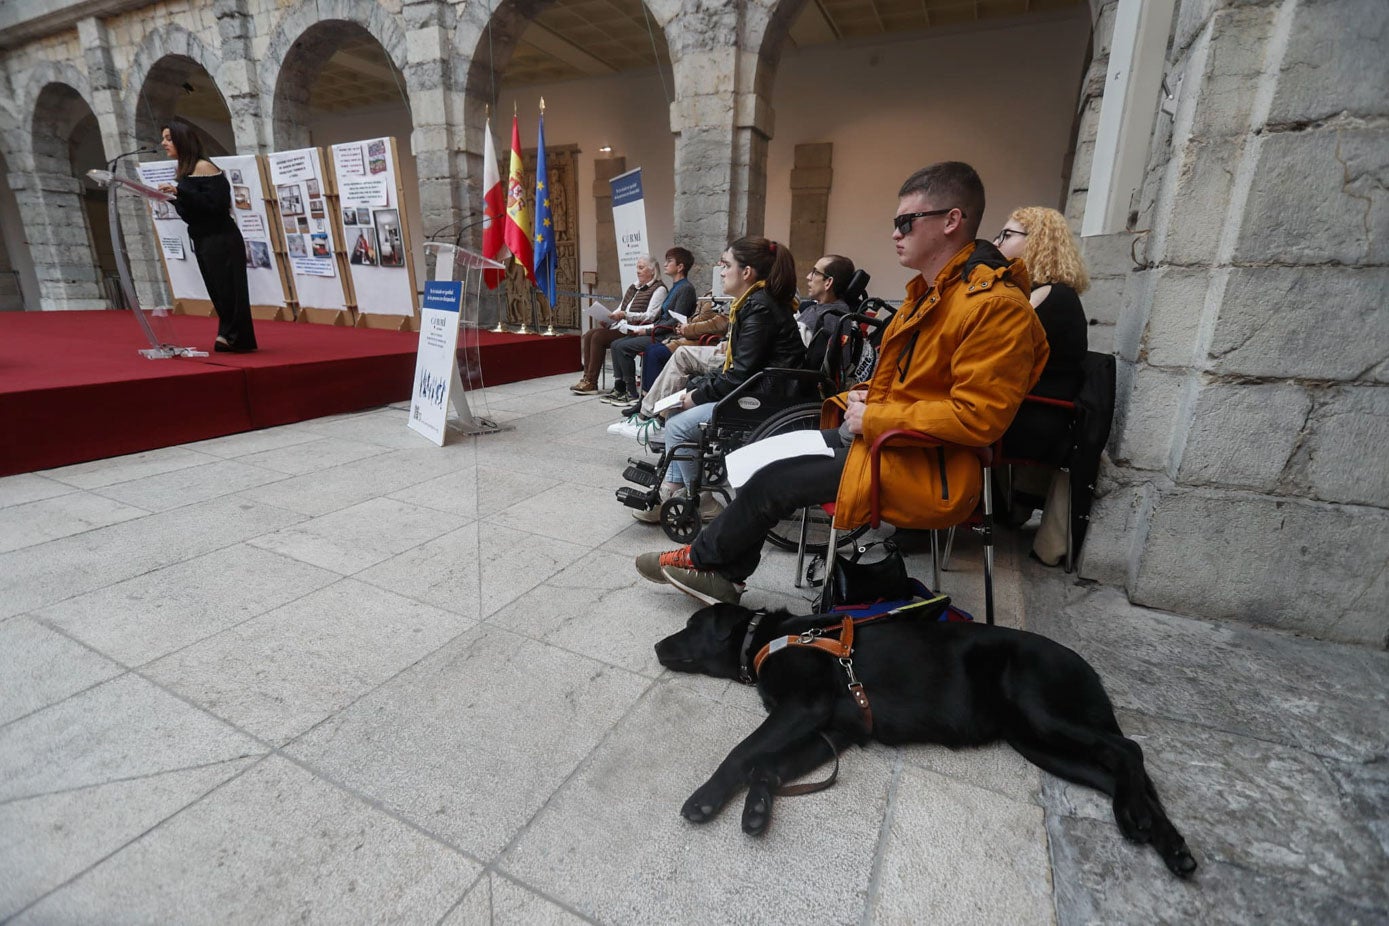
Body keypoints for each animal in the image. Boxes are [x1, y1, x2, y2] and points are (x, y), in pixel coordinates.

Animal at [655, 602, 1200, 877]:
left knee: (1129, 750)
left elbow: (743, 754)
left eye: (691, 625)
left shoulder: (804, 708)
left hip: (1041, 712)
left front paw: (706, 799)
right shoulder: (834, 730)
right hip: (1039, 745)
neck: (769, 637)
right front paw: (758, 808)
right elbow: (768, 765)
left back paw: (1143, 821)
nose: (657, 644)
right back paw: (1163, 839)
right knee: (1114, 772)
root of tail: (1089, 669)